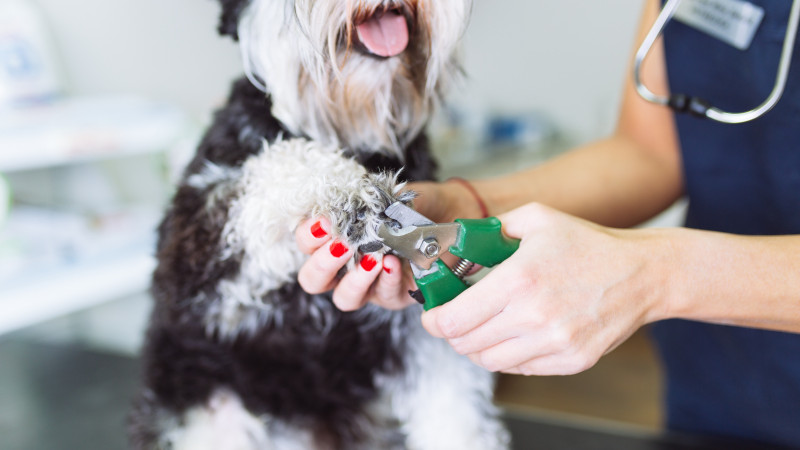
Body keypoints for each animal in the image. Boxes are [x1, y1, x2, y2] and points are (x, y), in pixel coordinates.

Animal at [128, 0, 510, 448]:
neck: (351, 128)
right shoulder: (196, 255)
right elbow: (282, 161)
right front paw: (351, 194)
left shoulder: (420, 332)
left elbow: (457, 416)